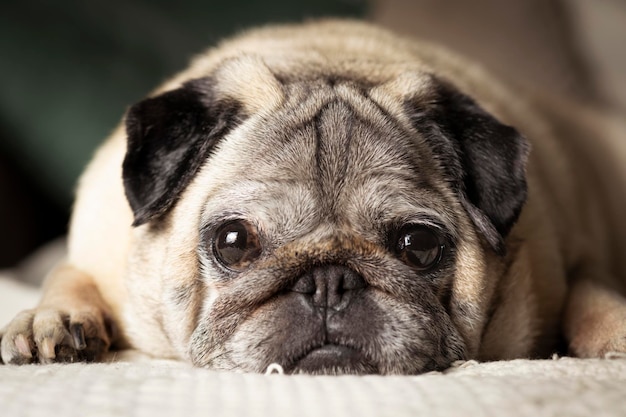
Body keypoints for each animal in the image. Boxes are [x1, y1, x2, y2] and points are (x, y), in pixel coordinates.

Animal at [3, 19, 624, 372]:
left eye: (418, 245)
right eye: (233, 242)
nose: (329, 281)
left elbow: (591, 294)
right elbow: (68, 274)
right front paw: (51, 320)